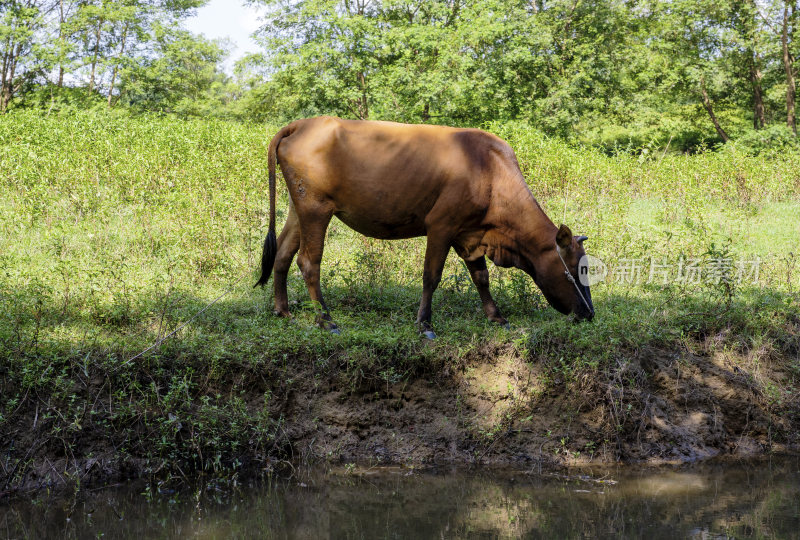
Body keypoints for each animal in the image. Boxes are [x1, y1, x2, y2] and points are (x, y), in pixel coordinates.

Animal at [256, 117, 592, 338]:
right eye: (579, 270)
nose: (589, 314)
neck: (490, 171)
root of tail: (302, 123)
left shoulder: (469, 234)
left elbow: (481, 278)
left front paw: (497, 317)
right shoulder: (442, 225)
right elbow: (431, 276)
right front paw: (425, 324)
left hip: (299, 209)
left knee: (282, 254)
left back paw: (283, 311)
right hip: (316, 209)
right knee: (308, 262)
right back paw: (326, 320)